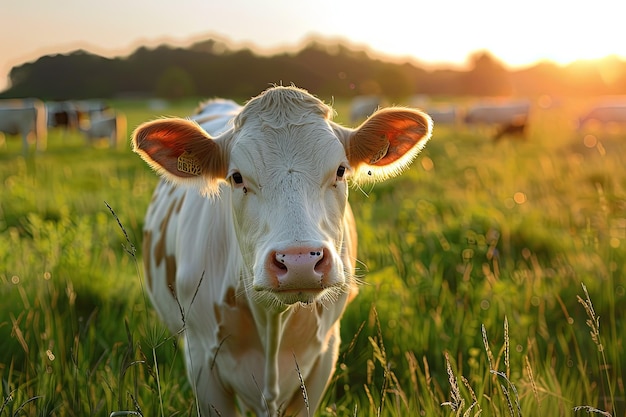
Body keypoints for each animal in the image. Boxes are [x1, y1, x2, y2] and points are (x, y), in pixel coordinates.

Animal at [134, 85, 432, 416]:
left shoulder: (324, 357)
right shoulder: (201, 359)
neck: (271, 320)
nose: (299, 261)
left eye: (340, 171)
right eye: (237, 177)